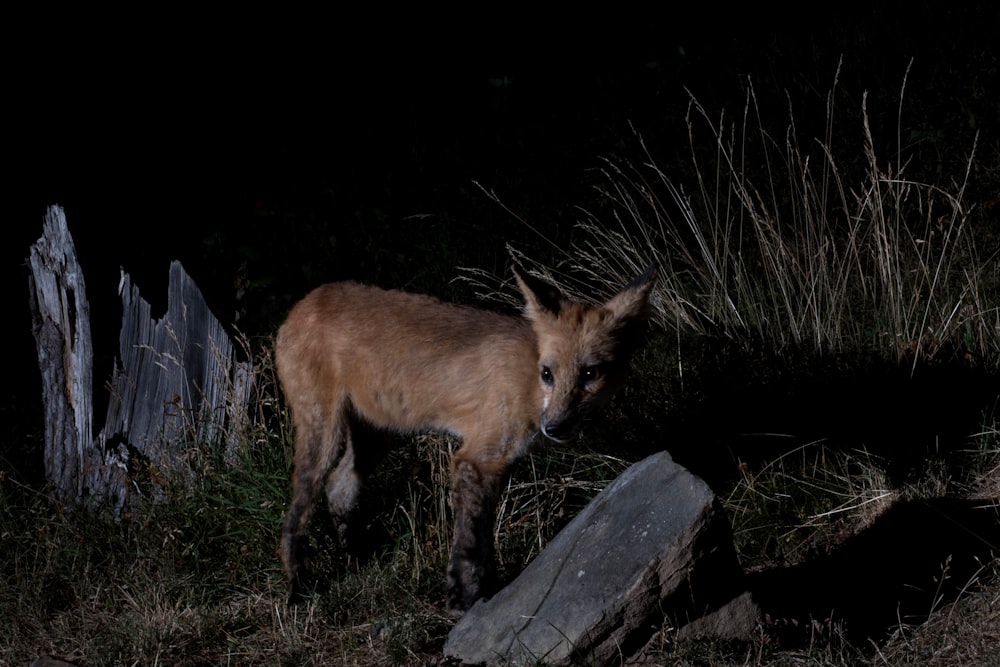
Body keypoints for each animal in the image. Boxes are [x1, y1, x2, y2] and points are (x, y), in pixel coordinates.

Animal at [274, 262, 660, 616]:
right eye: (548, 373)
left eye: (590, 373)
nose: (555, 428)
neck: (530, 384)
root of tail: (307, 300)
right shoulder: (476, 458)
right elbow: (470, 543)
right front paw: (465, 600)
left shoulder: (497, 464)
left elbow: (484, 537)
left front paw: (485, 590)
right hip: (324, 434)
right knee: (298, 510)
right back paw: (298, 586)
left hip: (375, 438)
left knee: (339, 486)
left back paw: (354, 556)